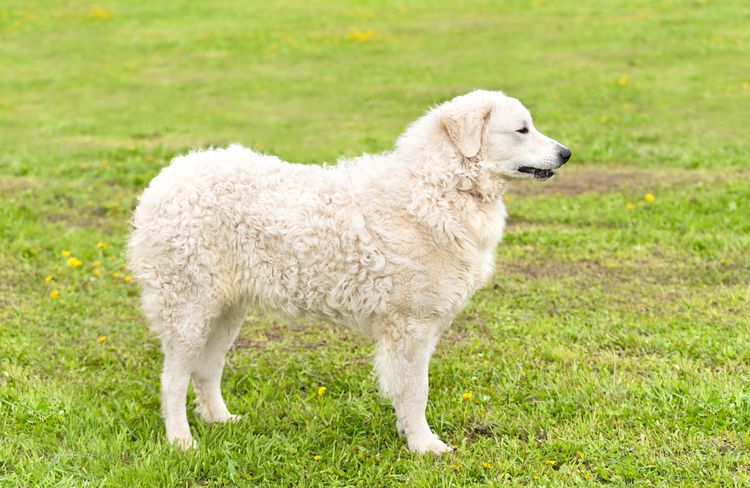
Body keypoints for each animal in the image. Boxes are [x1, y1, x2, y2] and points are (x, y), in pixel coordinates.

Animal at [129, 89, 572, 456]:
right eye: (522, 129)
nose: (567, 153)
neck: (441, 186)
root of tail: (168, 177)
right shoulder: (410, 325)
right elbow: (417, 390)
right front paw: (424, 446)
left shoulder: (423, 326)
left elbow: (409, 389)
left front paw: (409, 435)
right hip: (189, 308)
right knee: (173, 380)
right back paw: (181, 441)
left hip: (225, 311)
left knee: (206, 370)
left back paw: (221, 420)